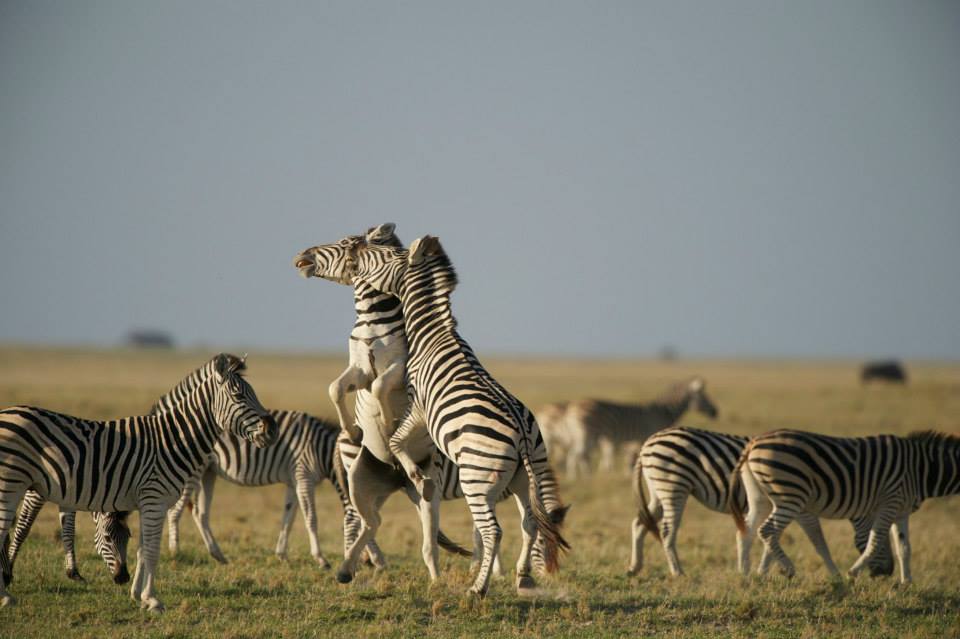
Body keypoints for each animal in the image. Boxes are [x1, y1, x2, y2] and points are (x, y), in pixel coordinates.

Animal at [0, 354, 277, 611]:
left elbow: (143, 549)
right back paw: (5, 596)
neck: (173, 440)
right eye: (239, 396)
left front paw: (138, 595)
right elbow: (153, 552)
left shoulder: (149, 502)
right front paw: (153, 600)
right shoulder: (154, 498)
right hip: (11, 483)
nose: (272, 429)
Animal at [295, 233, 569, 596]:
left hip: (476, 478)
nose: (356, 248)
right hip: (524, 477)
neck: (432, 333)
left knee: (492, 530)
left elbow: (396, 438)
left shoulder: (419, 406)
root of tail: (523, 436)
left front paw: (414, 470)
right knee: (528, 522)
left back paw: (477, 588)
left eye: (384, 255)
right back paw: (520, 577)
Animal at [538, 377, 718, 478]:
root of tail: (572, 408)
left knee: (576, 455)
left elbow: (626, 460)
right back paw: (581, 478)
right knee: (577, 454)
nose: (715, 412)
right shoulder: (645, 436)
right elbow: (636, 460)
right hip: (585, 434)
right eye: (704, 397)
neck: (661, 412)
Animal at [630, 426, 892, 577]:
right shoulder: (800, 507)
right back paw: (678, 572)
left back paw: (635, 567)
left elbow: (770, 538)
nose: (886, 574)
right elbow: (806, 536)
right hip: (673, 486)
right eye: (882, 541)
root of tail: (648, 443)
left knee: (639, 523)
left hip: (658, 490)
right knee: (666, 530)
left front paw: (762, 571)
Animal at [730, 429, 960, 583]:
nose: (886, 573)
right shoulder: (890, 501)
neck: (920, 469)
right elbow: (875, 540)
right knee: (767, 530)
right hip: (790, 496)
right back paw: (787, 568)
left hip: (760, 497)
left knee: (747, 530)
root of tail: (753, 443)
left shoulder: (901, 511)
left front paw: (907, 583)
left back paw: (748, 574)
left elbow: (904, 547)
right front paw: (853, 572)